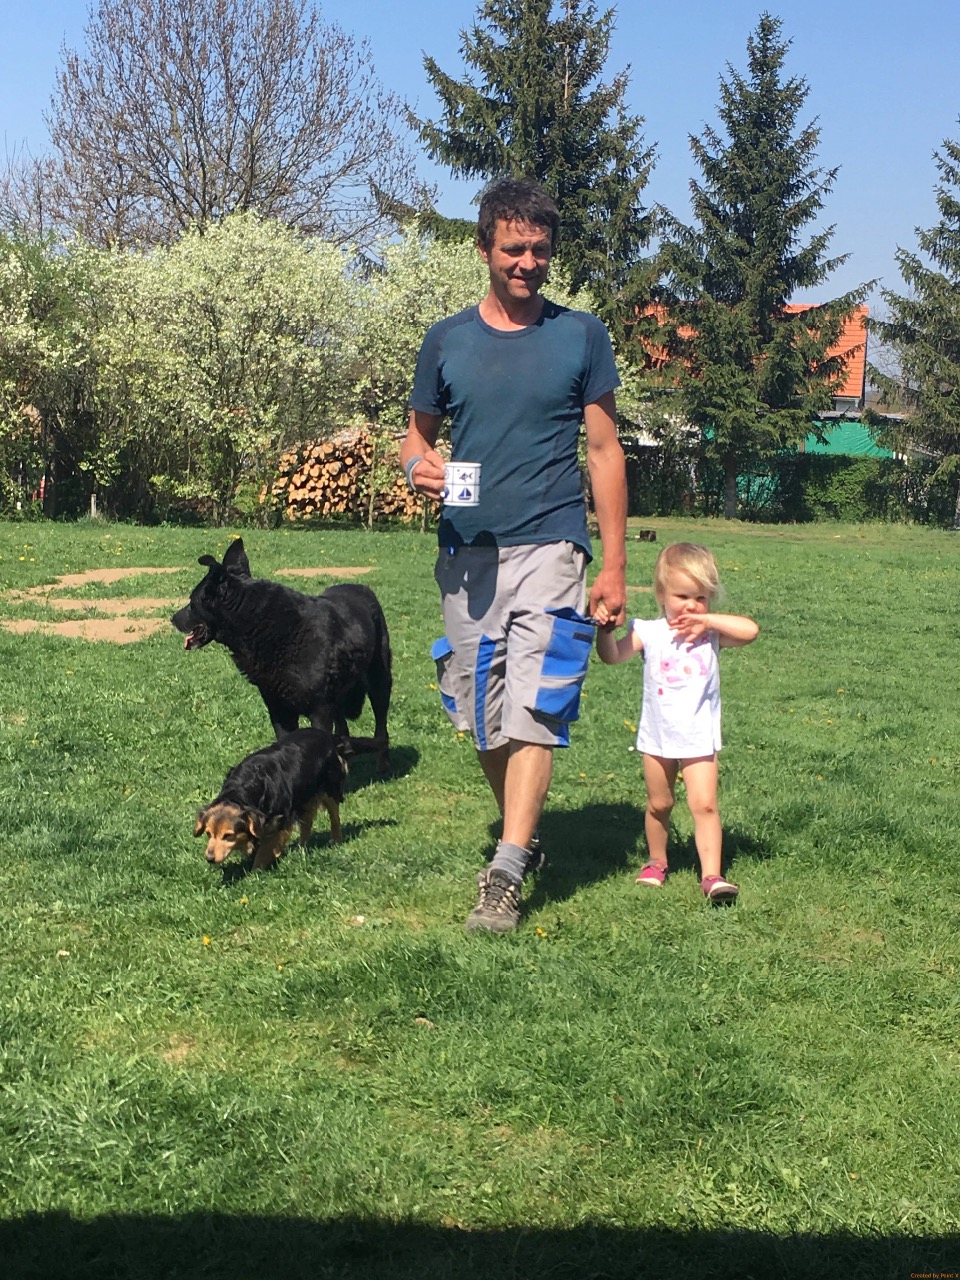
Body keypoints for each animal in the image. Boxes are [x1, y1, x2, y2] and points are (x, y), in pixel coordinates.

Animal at [172, 538, 391, 771]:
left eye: (192, 602)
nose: (172, 619)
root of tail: (362, 588)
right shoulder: (278, 709)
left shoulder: (320, 710)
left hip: (380, 682)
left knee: (381, 726)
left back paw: (383, 766)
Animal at [195, 729, 348, 871]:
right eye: (208, 834)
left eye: (228, 836)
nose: (209, 858)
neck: (241, 790)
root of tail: (326, 735)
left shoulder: (278, 821)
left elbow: (264, 850)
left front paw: (255, 872)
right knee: (307, 821)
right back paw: (301, 848)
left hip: (330, 789)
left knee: (334, 817)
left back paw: (336, 840)